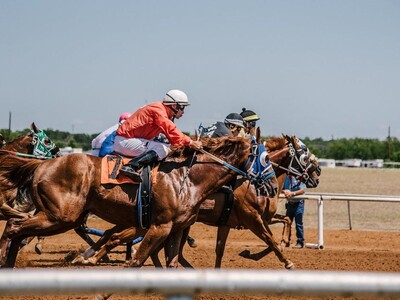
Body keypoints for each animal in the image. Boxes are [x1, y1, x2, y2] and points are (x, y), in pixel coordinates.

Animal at [0, 135, 262, 268]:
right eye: (262, 155)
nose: (264, 184)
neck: (187, 178)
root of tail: (42, 164)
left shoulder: (176, 229)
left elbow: (172, 264)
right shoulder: (160, 226)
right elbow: (136, 261)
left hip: (57, 216)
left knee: (18, 231)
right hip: (61, 216)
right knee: (14, 227)